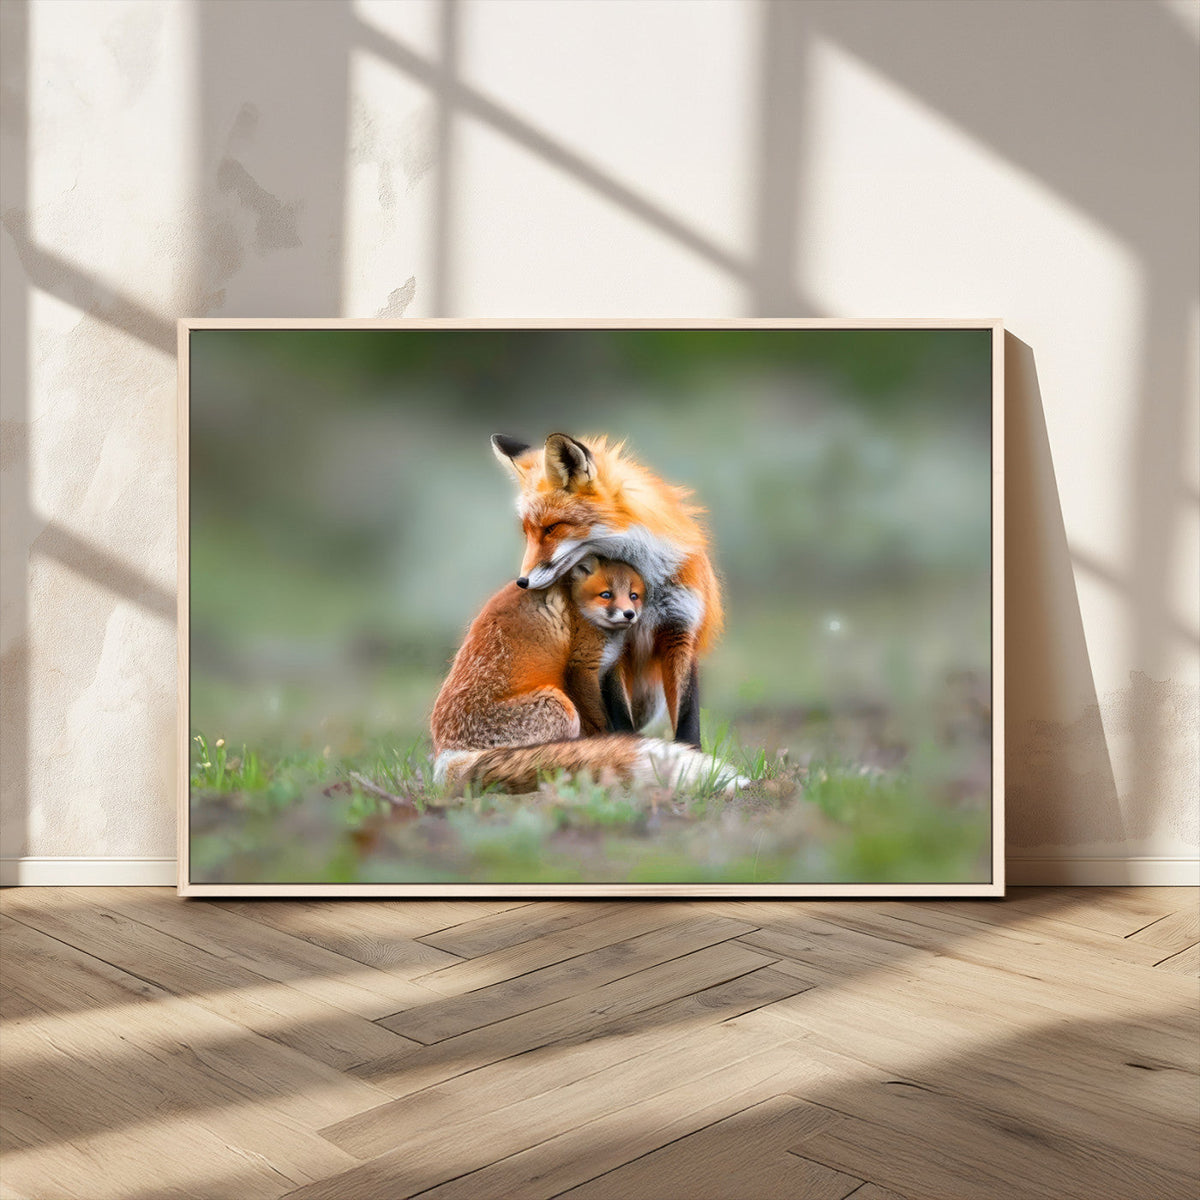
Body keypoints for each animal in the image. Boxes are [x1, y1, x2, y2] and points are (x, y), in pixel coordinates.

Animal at [432, 556, 739, 793]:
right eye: (606, 595)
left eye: (634, 595)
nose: (629, 614)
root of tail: (447, 754)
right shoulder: (582, 667)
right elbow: (601, 720)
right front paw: (614, 745)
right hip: (560, 706)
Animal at [491, 432, 722, 748]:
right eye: (527, 532)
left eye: (552, 528)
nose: (522, 582)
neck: (646, 585)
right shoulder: (613, 645)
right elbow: (619, 715)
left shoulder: (680, 630)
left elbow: (687, 717)